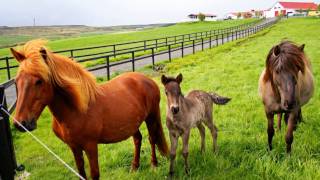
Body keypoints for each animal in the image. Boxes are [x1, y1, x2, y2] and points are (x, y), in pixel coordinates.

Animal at [10, 39, 168, 180]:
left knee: (152, 139)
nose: (21, 124)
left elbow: (94, 174)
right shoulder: (74, 147)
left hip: (151, 117)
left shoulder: (90, 146)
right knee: (137, 139)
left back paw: (154, 165)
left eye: (39, 81)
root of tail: (147, 79)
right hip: (132, 123)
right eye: (16, 81)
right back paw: (134, 167)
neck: (75, 110)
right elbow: (81, 171)